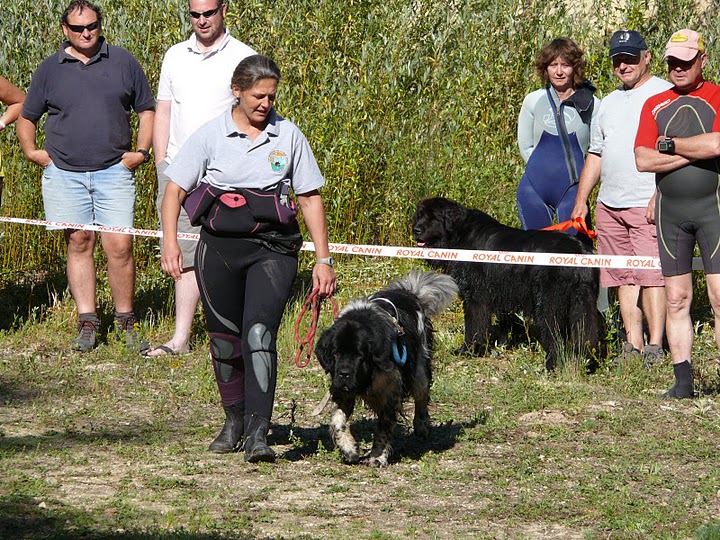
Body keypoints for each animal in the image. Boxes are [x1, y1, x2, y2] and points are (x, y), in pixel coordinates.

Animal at [314, 272, 456, 466]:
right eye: (335, 353)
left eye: (359, 355)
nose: (344, 374)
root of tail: (409, 293)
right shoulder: (343, 390)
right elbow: (337, 421)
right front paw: (349, 448)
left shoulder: (390, 391)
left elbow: (384, 426)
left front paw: (377, 456)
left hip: (419, 368)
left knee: (421, 395)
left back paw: (422, 425)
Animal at [410, 198, 600, 372]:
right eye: (420, 215)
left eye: (434, 217)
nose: (416, 229)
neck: (459, 234)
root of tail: (579, 251)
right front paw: (502, 345)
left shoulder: (475, 295)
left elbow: (474, 326)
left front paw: (468, 350)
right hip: (582, 302)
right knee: (586, 333)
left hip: (549, 303)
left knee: (555, 336)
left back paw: (551, 366)